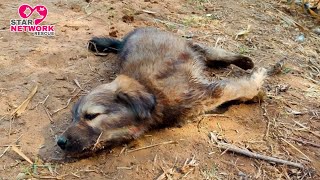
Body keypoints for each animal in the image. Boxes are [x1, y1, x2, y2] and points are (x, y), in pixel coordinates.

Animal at [57, 27, 268, 155]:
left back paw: (244, 61)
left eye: (91, 116)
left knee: (209, 51)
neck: (151, 93)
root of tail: (129, 36)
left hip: (188, 46)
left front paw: (256, 85)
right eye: (73, 117)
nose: (60, 142)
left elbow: (238, 87)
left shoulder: (209, 91)